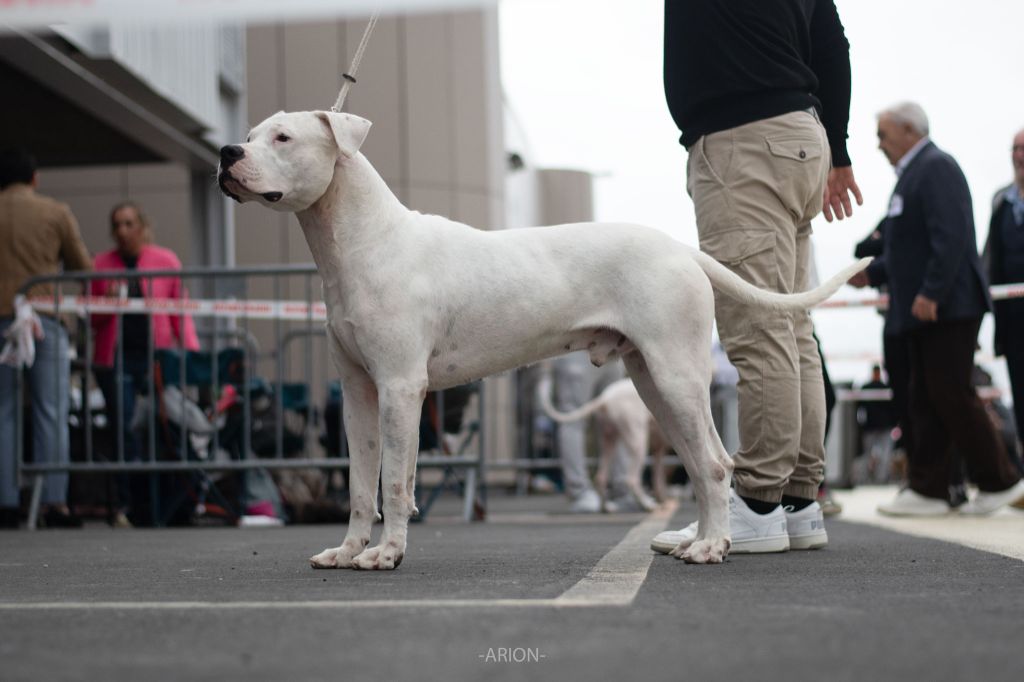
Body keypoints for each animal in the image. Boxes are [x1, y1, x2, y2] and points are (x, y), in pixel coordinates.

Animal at [540, 372, 667, 509]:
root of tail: (605, 398)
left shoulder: (660, 447)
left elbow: (658, 477)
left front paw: (662, 497)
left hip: (609, 439)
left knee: (601, 477)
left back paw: (607, 507)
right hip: (638, 441)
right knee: (632, 479)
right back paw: (647, 504)